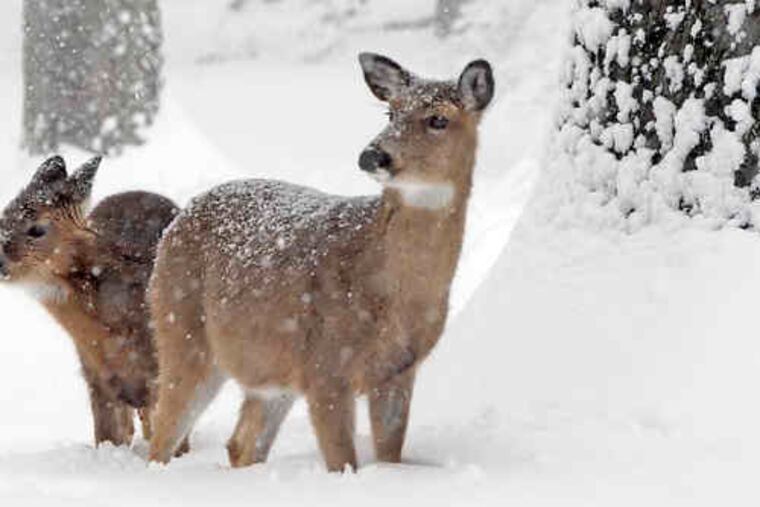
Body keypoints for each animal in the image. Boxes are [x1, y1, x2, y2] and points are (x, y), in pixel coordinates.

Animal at [147, 53, 495, 471]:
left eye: (439, 119)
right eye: (391, 112)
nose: (372, 155)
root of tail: (176, 222)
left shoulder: (398, 372)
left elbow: (389, 456)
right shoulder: (326, 366)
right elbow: (343, 462)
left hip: (269, 370)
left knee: (241, 442)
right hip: (182, 331)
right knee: (162, 433)